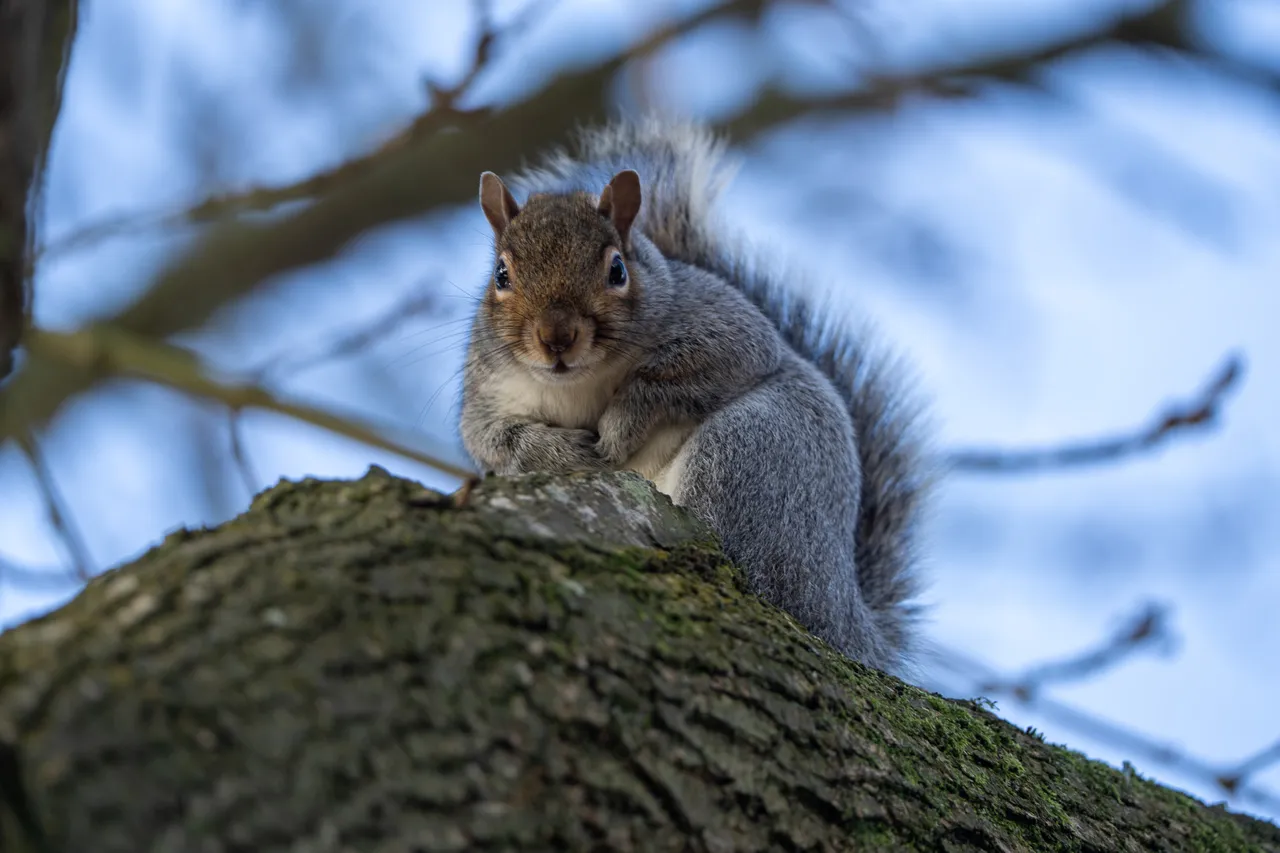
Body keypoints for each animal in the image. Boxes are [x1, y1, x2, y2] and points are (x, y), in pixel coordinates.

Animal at [458, 116, 931, 671]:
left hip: (754, 450)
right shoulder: (487, 390)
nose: (556, 338)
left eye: (617, 270)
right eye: (501, 275)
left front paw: (621, 424)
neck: (579, 383)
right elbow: (491, 439)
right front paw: (555, 451)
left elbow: (710, 364)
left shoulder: (725, 324)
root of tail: (842, 609)